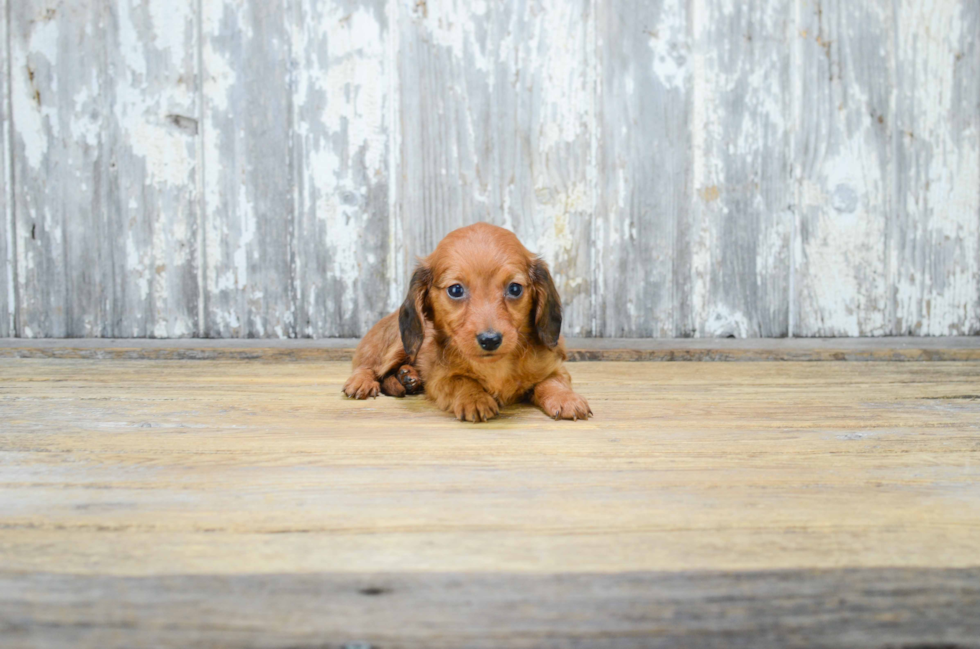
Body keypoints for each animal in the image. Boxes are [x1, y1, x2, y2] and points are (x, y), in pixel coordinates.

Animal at [344, 223, 588, 422]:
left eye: (515, 289)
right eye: (455, 290)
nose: (490, 340)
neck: (495, 365)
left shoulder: (554, 366)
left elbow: (551, 381)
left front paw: (566, 398)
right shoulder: (440, 379)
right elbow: (461, 380)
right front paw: (475, 398)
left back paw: (407, 377)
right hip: (396, 345)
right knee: (369, 366)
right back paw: (363, 381)